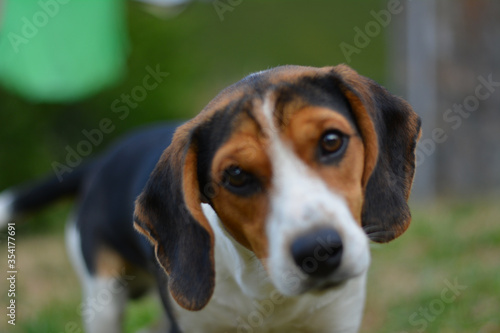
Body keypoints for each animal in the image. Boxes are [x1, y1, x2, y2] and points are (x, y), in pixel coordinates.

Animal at [0, 63, 420, 330]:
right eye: (235, 175)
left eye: (331, 141)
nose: (318, 250)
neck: (266, 291)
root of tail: (102, 161)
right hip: (103, 297)